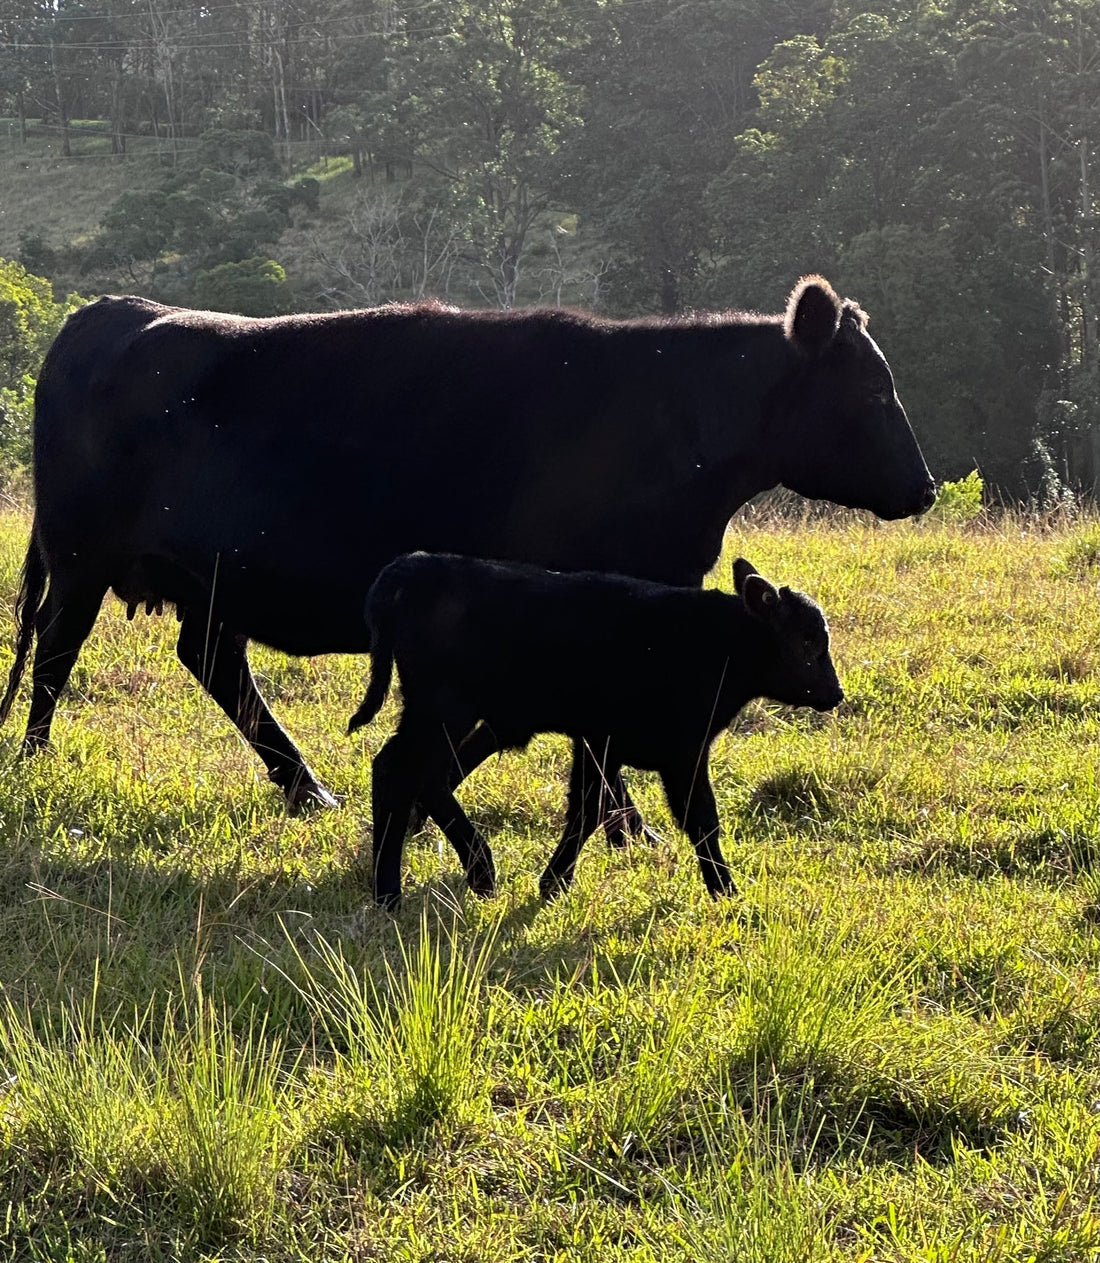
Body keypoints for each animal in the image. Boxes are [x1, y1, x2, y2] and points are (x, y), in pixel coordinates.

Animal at [0, 277, 931, 831]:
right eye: (872, 390)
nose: (924, 488)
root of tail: (110, 311)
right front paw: (624, 822)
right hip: (81, 559)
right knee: (54, 653)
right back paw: (36, 761)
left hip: (207, 581)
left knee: (213, 661)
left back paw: (307, 786)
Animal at [347, 553, 843, 908]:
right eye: (807, 642)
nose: (835, 694)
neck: (713, 644)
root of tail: (415, 564)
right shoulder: (680, 751)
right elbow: (700, 818)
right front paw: (725, 891)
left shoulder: (600, 742)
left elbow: (588, 807)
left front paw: (554, 881)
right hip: (441, 711)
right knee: (402, 771)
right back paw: (394, 891)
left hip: (445, 716)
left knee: (420, 775)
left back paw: (462, 876)